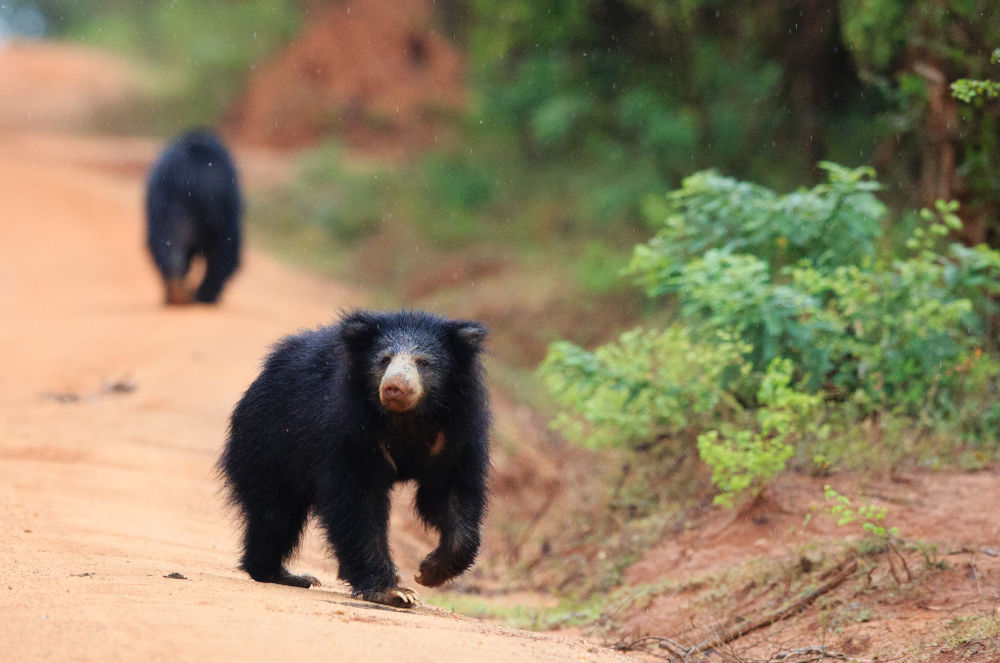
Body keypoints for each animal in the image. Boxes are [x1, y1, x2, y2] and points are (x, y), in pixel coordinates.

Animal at [217, 308, 490, 608]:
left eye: (423, 362)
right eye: (384, 360)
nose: (395, 387)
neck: (406, 417)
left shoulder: (455, 435)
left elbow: (450, 494)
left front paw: (430, 572)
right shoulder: (350, 431)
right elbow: (359, 503)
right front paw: (395, 592)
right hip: (269, 442)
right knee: (275, 511)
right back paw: (281, 574)